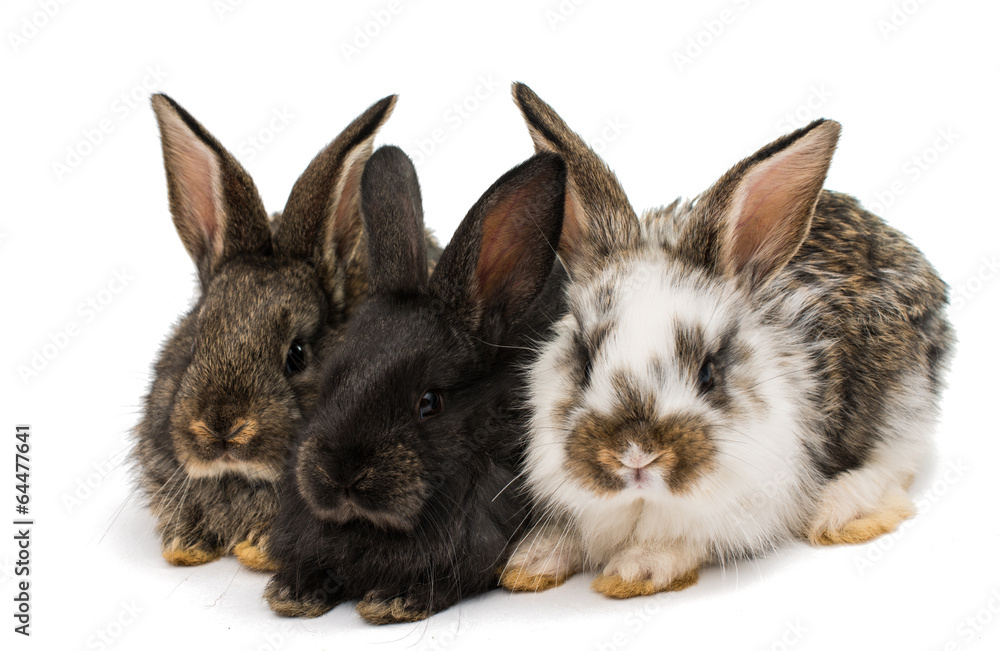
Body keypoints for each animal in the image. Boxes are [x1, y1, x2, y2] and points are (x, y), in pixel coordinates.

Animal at [498, 83, 956, 599]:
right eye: (585, 361)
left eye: (708, 372)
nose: (635, 454)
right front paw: (530, 563)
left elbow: (683, 543)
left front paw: (634, 571)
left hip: (901, 400)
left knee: (895, 464)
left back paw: (837, 511)